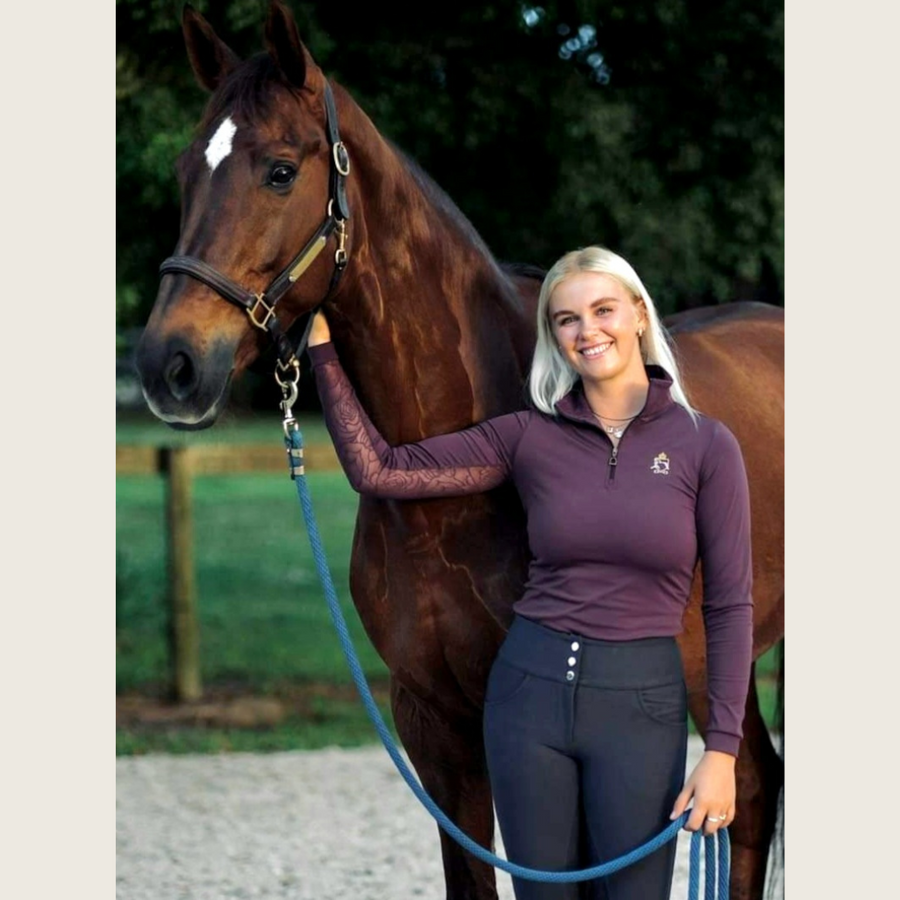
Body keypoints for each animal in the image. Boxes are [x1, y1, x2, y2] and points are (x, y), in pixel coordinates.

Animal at [134, 3, 780, 896]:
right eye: (183, 171)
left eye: (279, 171)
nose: (168, 365)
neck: (445, 484)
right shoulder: (432, 720)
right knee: (751, 786)